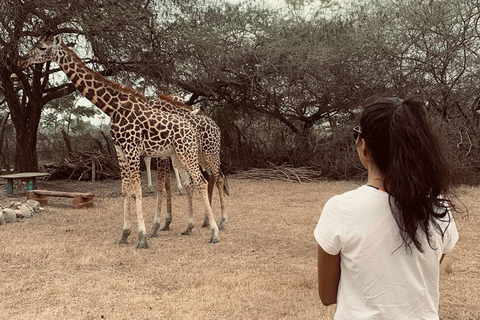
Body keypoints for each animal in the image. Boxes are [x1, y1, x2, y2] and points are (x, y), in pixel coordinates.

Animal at [146, 93, 229, 238]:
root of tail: (217, 128)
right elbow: (167, 183)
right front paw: (166, 222)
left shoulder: (163, 155)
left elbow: (162, 184)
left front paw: (158, 225)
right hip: (201, 156)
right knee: (211, 177)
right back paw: (206, 221)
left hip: (206, 156)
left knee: (217, 178)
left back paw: (220, 221)